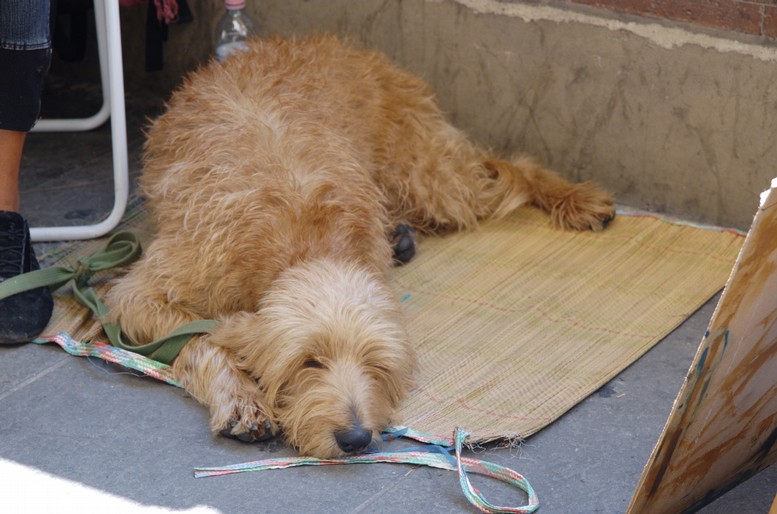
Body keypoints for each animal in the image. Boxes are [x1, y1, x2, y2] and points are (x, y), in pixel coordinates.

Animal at [105, 35, 615, 458]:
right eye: (308, 362)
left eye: (374, 363)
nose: (354, 438)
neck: (305, 244)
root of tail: (343, 46)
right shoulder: (144, 293)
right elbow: (201, 339)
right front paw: (241, 400)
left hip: (432, 179)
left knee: (512, 166)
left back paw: (574, 197)